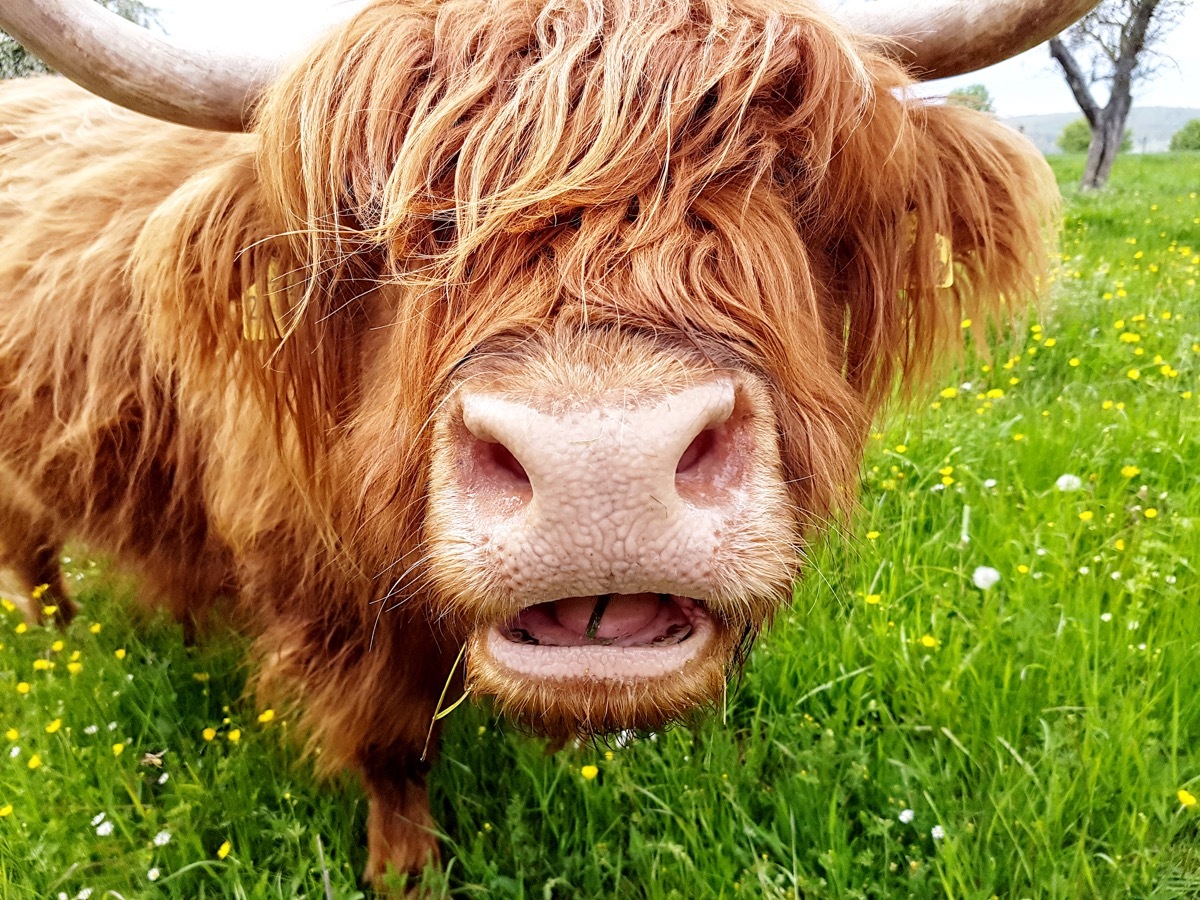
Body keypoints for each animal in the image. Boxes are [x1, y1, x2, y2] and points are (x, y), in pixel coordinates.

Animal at [0, 0, 1096, 884]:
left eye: (792, 178)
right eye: (382, 220)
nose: (600, 469)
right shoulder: (333, 607)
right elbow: (392, 748)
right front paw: (406, 872)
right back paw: (62, 641)